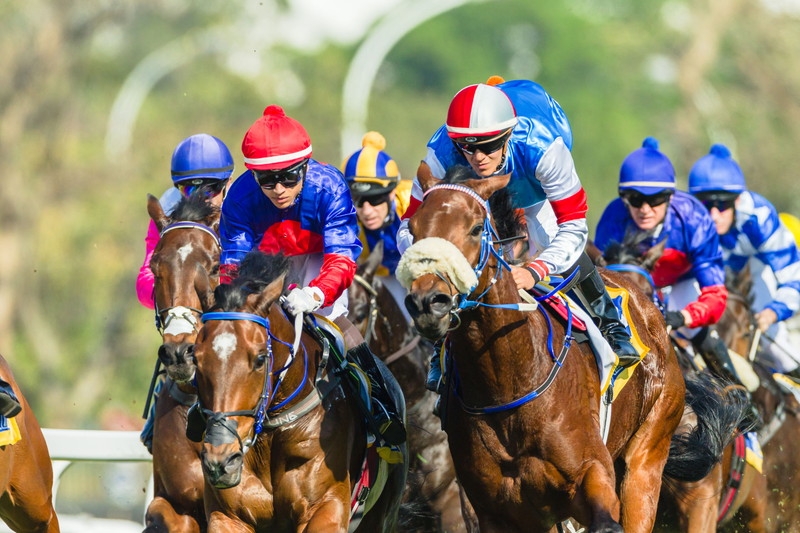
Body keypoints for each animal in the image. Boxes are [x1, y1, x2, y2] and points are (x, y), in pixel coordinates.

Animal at [191, 250, 410, 532]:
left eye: (260, 359)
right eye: (195, 359)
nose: (220, 461)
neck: (271, 433)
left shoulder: (327, 505)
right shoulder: (228, 516)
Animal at [400, 169, 744, 532]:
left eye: (476, 228)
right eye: (414, 231)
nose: (428, 302)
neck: (508, 383)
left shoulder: (591, 475)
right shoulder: (495, 509)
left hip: (648, 456)